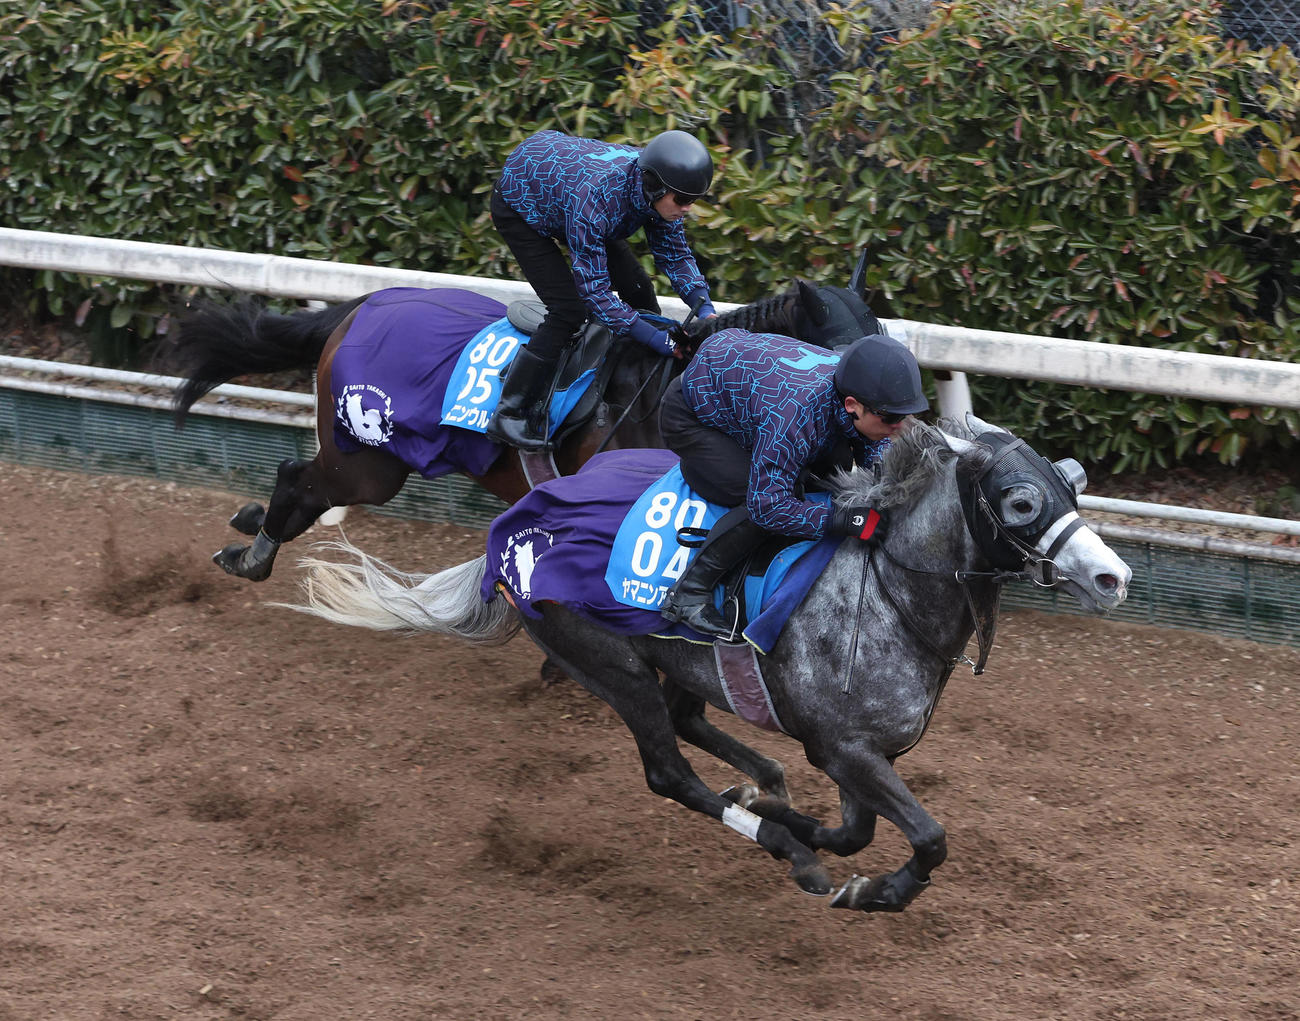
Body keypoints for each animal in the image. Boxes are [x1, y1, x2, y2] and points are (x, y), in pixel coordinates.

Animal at [153, 276, 882, 583]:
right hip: (369, 462)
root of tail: (360, 305)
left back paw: (251, 525)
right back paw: (253, 554)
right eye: (849, 365)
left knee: (301, 482)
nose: (870, 454)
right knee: (297, 478)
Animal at [279, 415, 1132, 913]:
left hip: (680, 665)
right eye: (1020, 501)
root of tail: (510, 529)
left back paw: (762, 790)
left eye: (1072, 480)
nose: (1112, 575)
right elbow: (925, 836)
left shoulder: (860, 752)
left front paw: (801, 821)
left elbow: (855, 828)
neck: (889, 592)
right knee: (667, 770)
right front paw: (871, 889)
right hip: (608, 663)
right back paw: (785, 849)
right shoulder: (842, 747)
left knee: (692, 720)